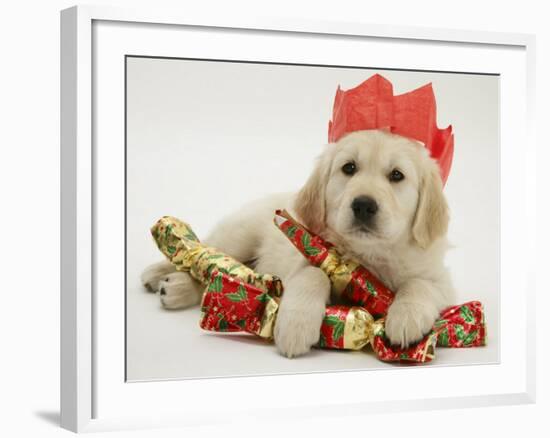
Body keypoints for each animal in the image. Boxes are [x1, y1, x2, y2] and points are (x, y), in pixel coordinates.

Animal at [142, 130, 458, 360]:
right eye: (349, 168)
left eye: (396, 175)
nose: (363, 205)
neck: (370, 253)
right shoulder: (307, 254)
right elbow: (313, 274)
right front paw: (296, 325)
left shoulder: (441, 281)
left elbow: (420, 284)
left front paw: (406, 318)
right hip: (241, 234)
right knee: (204, 255)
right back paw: (160, 276)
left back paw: (173, 287)